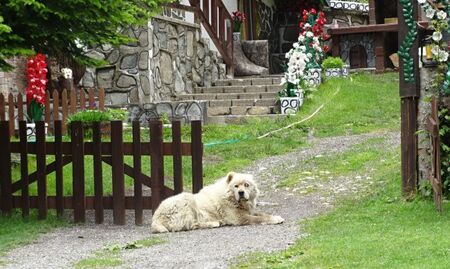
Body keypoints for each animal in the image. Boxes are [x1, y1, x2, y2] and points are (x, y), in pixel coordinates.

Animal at [151, 172, 284, 232]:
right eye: (236, 186)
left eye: (246, 185)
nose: (241, 192)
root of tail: (156, 217)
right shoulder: (239, 218)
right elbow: (259, 218)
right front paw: (274, 219)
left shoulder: (248, 211)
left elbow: (262, 214)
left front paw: (276, 216)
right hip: (187, 200)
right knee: (192, 225)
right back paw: (214, 223)